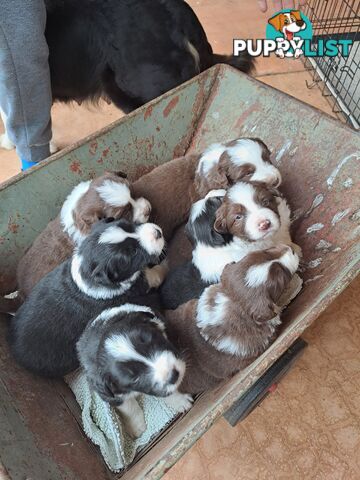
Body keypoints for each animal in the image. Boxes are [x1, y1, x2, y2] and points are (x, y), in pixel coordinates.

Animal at [77, 304, 193, 438]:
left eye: (152, 341)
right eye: (135, 378)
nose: (173, 375)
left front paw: (181, 402)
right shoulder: (113, 395)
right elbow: (130, 408)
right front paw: (137, 428)